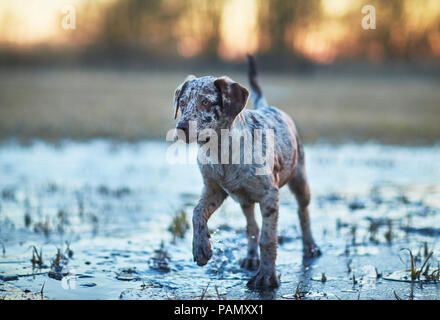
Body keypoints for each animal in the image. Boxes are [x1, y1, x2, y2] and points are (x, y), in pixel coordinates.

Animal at [172, 55, 320, 288]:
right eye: (183, 102)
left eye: (205, 102)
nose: (181, 127)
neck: (221, 149)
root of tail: (269, 107)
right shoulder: (214, 189)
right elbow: (196, 213)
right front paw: (201, 247)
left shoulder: (270, 195)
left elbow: (268, 239)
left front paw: (267, 276)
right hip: (244, 200)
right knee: (251, 227)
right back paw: (251, 258)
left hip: (300, 179)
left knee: (303, 213)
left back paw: (310, 246)